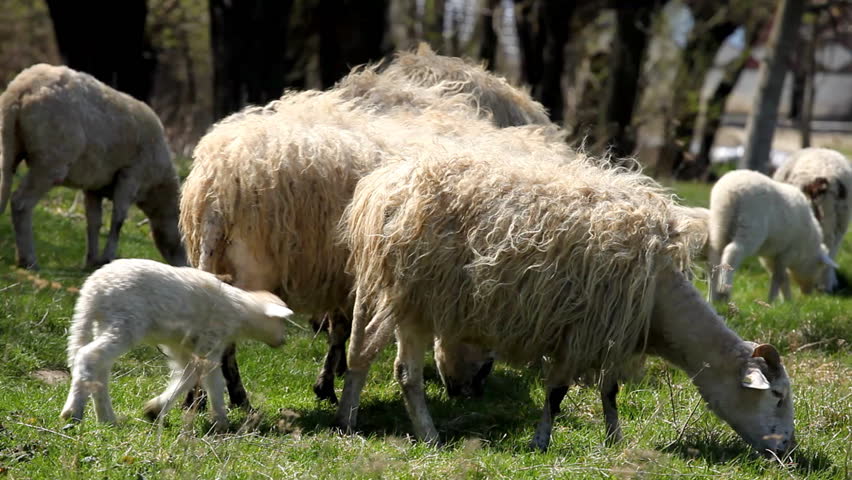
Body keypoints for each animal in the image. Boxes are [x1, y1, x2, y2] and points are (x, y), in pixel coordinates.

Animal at [0, 64, 187, 270]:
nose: (188, 266)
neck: (156, 188)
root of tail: (21, 88)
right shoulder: (131, 175)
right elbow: (118, 219)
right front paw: (108, 257)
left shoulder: (94, 187)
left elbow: (94, 222)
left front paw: (92, 261)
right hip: (50, 160)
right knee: (21, 203)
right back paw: (28, 260)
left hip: (9, 146)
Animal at [59, 258, 294, 433]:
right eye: (282, 322)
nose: (282, 341)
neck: (240, 311)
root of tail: (93, 290)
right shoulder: (211, 343)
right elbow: (214, 381)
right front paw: (221, 421)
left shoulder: (180, 347)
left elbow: (186, 376)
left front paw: (155, 409)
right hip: (126, 322)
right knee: (88, 356)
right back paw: (73, 412)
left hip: (106, 323)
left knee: (100, 366)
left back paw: (106, 417)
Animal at [180, 59, 567, 407]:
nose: (470, 391)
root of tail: (218, 187)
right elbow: (343, 331)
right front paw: (329, 384)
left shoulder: (346, 274)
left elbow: (343, 329)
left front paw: (329, 382)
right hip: (252, 267)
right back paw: (236, 396)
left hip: (214, 260)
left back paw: (197, 397)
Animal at [335, 147, 795, 456]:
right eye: (776, 396)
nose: (788, 450)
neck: (658, 303)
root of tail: (383, 187)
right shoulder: (582, 330)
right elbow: (557, 392)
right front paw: (541, 441)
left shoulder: (608, 332)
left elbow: (610, 391)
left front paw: (614, 439)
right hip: (415, 297)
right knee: (401, 370)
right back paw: (425, 436)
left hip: (395, 294)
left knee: (365, 352)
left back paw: (348, 421)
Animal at [708, 169, 836, 303]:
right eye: (819, 267)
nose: (808, 293)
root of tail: (729, 192)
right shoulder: (788, 253)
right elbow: (779, 277)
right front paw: (772, 301)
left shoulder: (770, 256)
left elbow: (782, 277)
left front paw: (787, 301)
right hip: (750, 227)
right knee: (732, 251)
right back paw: (724, 288)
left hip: (719, 224)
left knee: (715, 256)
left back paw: (714, 297)